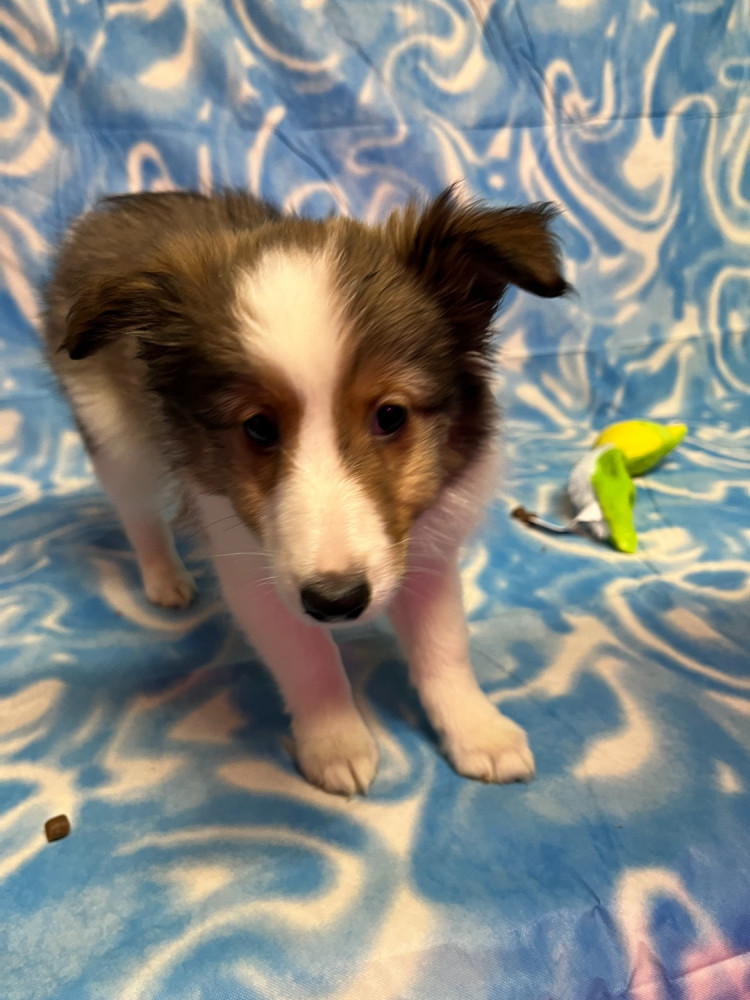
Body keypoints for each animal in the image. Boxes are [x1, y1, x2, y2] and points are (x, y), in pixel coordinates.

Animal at [43, 187, 569, 795]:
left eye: (391, 415)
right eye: (258, 427)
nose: (337, 603)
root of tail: (110, 210)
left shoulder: (425, 549)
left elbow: (444, 648)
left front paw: (476, 731)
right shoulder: (256, 570)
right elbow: (309, 659)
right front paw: (335, 742)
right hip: (113, 432)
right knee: (138, 513)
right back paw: (165, 578)